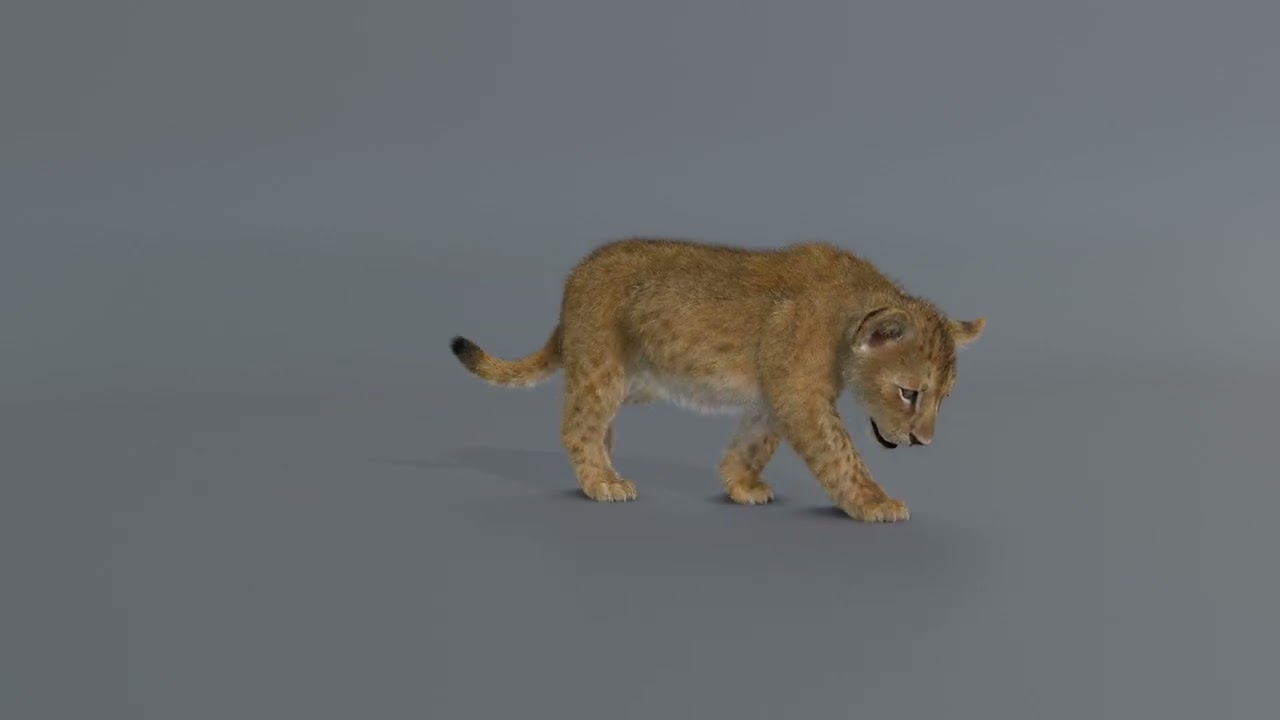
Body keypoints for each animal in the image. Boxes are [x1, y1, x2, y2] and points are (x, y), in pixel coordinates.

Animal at [449, 238, 985, 522]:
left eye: (944, 399)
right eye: (909, 393)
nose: (923, 442)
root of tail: (575, 274)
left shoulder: (774, 396)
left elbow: (753, 441)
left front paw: (741, 484)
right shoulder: (802, 397)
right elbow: (842, 454)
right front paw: (875, 503)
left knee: (597, 428)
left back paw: (603, 471)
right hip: (602, 369)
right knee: (577, 427)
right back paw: (603, 482)